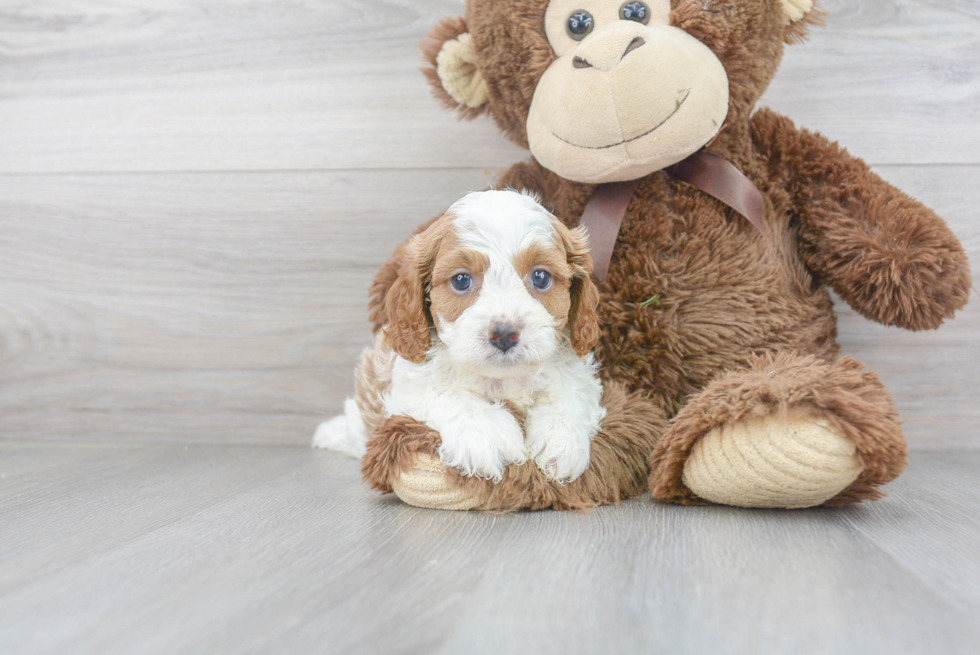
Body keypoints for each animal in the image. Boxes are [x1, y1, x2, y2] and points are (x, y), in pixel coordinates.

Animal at [314, 190, 604, 482]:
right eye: (461, 280)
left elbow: (569, 393)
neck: (501, 380)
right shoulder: (410, 385)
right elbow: (450, 395)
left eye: (541, 277)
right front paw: (489, 436)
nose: (504, 334)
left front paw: (561, 441)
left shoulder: (578, 373)